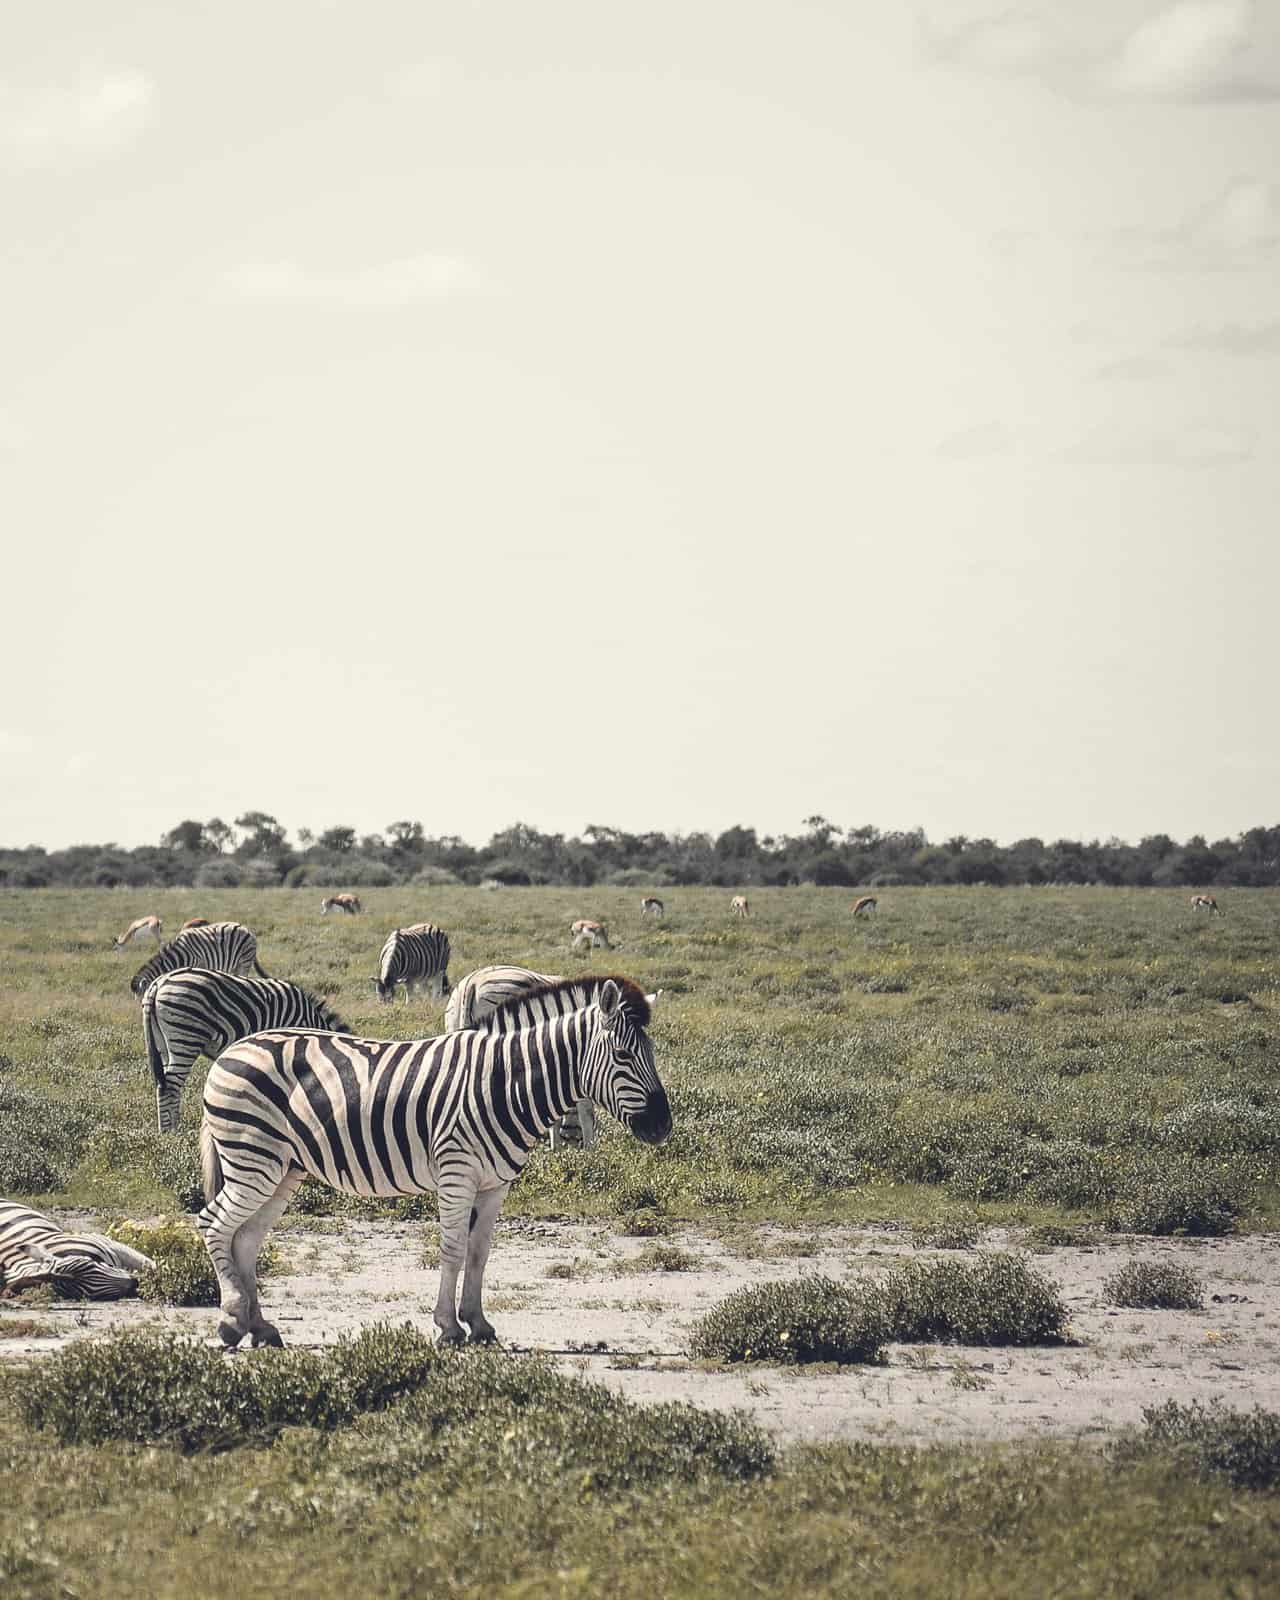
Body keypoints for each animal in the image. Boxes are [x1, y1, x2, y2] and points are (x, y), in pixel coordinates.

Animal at [131, 921, 265, 998]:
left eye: (142, 999)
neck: (178, 956)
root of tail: (246, 928)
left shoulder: (199, 964)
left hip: (245, 960)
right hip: (235, 964)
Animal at [143, 967, 349, 1133]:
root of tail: (159, 983)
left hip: (163, 1043)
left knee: (163, 1083)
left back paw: (169, 1131)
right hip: (186, 1035)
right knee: (171, 1084)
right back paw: (172, 1132)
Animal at [197, 977, 671, 1348]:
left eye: (653, 1054)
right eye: (624, 1056)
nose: (663, 1126)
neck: (502, 1083)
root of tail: (233, 1049)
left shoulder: (495, 1184)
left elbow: (480, 1252)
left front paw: (479, 1324)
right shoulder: (456, 1172)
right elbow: (453, 1249)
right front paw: (449, 1328)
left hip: (282, 1168)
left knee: (246, 1237)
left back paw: (259, 1327)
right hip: (253, 1158)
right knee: (213, 1223)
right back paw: (230, 1321)